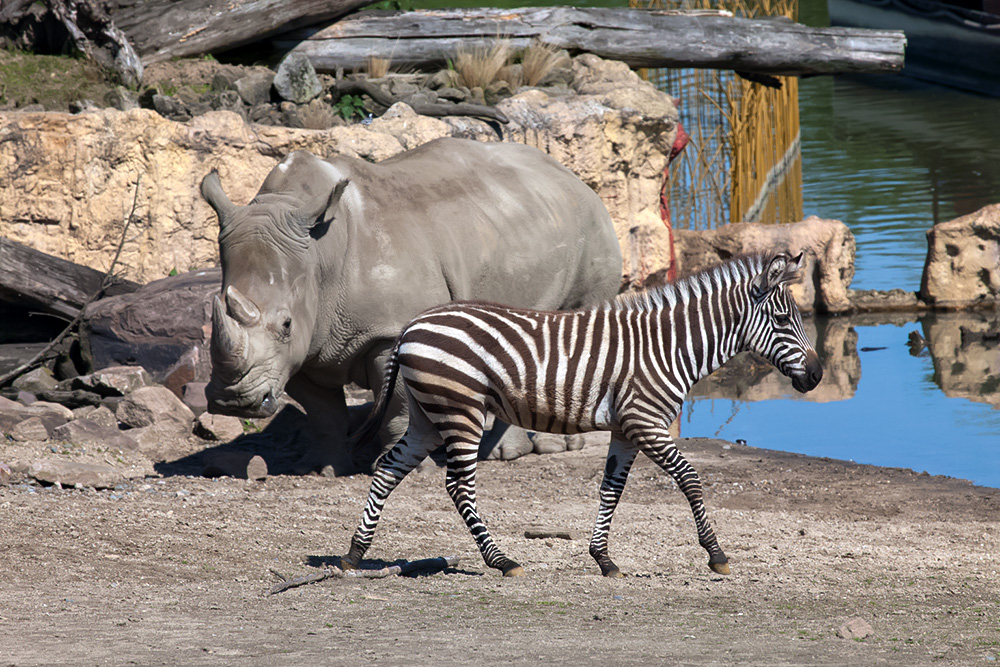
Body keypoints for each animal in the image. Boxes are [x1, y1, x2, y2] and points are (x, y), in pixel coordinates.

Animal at [340, 253, 824, 576]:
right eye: (784, 320)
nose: (818, 375)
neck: (668, 348)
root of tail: (412, 325)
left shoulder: (626, 429)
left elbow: (611, 490)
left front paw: (603, 559)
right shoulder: (646, 422)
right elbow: (689, 478)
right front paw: (716, 555)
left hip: (428, 415)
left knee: (387, 469)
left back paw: (354, 553)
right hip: (460, 410)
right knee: (458, 485)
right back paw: (501, 561)